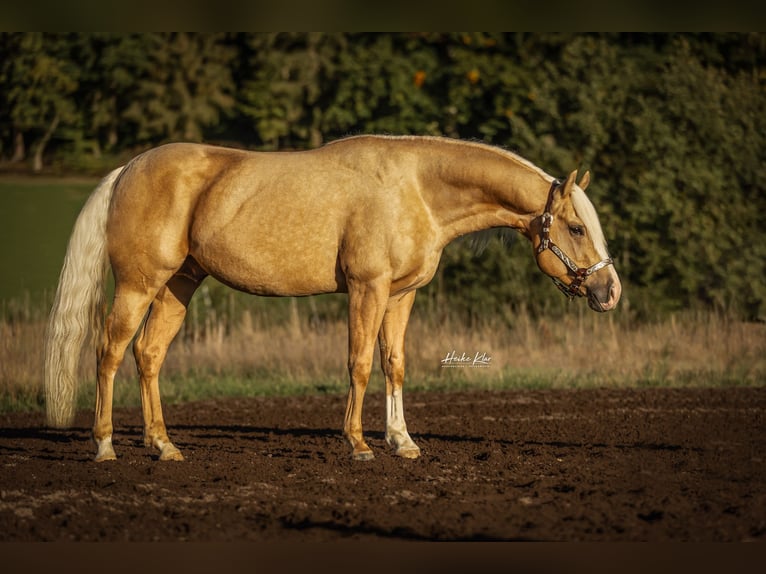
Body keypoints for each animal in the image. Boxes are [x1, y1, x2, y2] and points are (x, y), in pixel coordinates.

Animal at [45, 135, 624, 464]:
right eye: (576, 227)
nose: (609, 291)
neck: (415, 189)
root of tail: (128, 169)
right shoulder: (367, 289)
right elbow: (360, 363)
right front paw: (360, 445)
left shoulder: (401, 295)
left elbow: (394, 364)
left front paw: (403, 443)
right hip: (139, 285)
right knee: (110, 352)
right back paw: (104, 447)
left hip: (178, 285)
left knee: (149, 355)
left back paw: (163, 446)